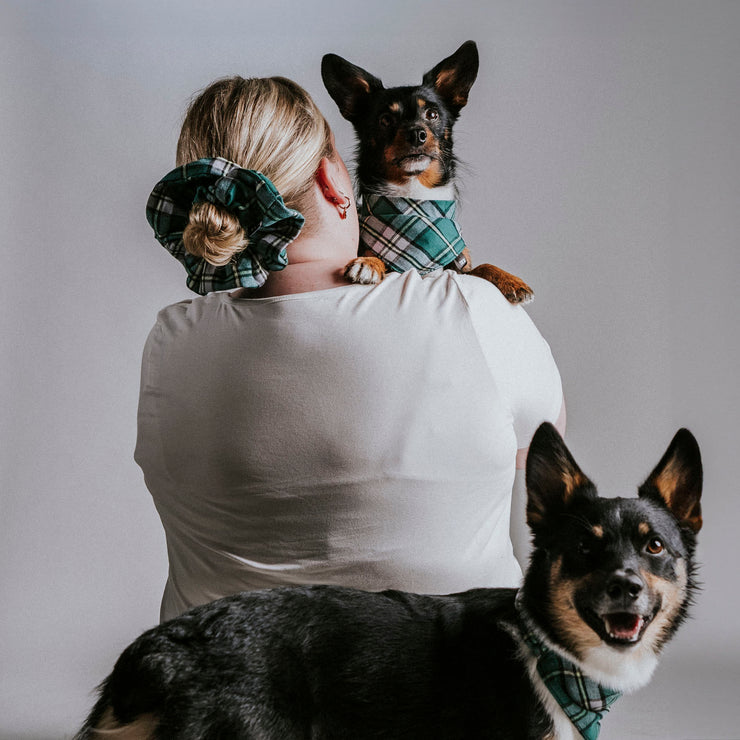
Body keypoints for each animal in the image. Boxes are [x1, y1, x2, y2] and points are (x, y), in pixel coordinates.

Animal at [320, 38, 536, 300]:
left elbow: (481, 266)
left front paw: (509, 279)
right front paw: (369, 263)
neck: (416, 197)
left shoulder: (459, 264)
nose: (417, 133)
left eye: (432, 114)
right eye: (385, 120)